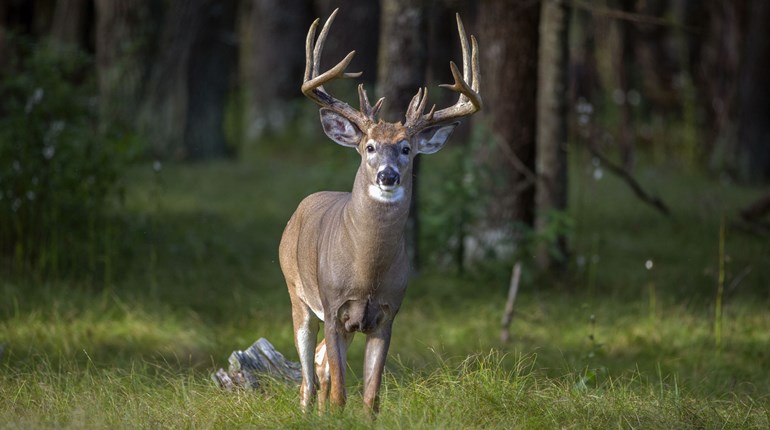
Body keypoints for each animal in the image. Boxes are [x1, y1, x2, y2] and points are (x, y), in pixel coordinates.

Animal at [278, 8, 481, 414]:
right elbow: (341, 393)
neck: (366, 273)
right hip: (297, 293)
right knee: (308, 374)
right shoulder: (334, 307)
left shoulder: (387, 314)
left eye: (406, 148)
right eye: (369, 146)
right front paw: (335, 414)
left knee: (320, 363)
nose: (388, 175)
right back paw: (308, 410)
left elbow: (371, 395)